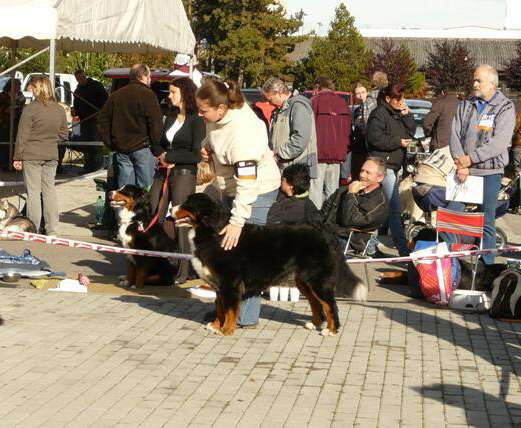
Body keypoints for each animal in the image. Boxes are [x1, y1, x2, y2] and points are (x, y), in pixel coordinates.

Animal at [175, 192, 366, 336]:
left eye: (187, 204)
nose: (172, 209)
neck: (214, 232)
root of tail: (326, 232)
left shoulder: (230, 283)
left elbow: (229, 310)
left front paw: (226, 330)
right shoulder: (219, 284)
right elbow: (219, 306)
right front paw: (215, 325)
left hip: (318, 280)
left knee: (330, 305)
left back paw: (331, 330)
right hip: (303, 281)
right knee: (315, 303)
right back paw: (314, 324)